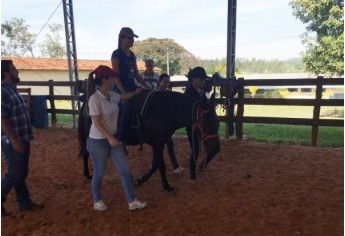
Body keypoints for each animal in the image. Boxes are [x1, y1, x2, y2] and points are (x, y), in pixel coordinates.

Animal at [77, 89, 220, 193]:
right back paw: (87, 175)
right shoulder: (157, 143)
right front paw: (167, 186)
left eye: (217, 122)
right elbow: (161, 165)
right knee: (86, 152)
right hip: (90, 135)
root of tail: (87, 102)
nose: (215, 149)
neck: (165, 110)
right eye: (206, 122)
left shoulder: (159, 143)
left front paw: (141, 180)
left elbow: (155, 164)